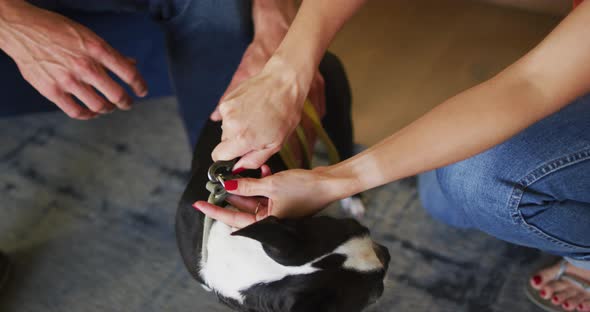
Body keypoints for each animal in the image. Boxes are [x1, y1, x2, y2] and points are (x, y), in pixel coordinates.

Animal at [176, 53, 390, 312]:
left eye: (359, 229)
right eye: (372, 292)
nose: (386, 254)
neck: (238, 256)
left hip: (336, 108)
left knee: (343, 148)